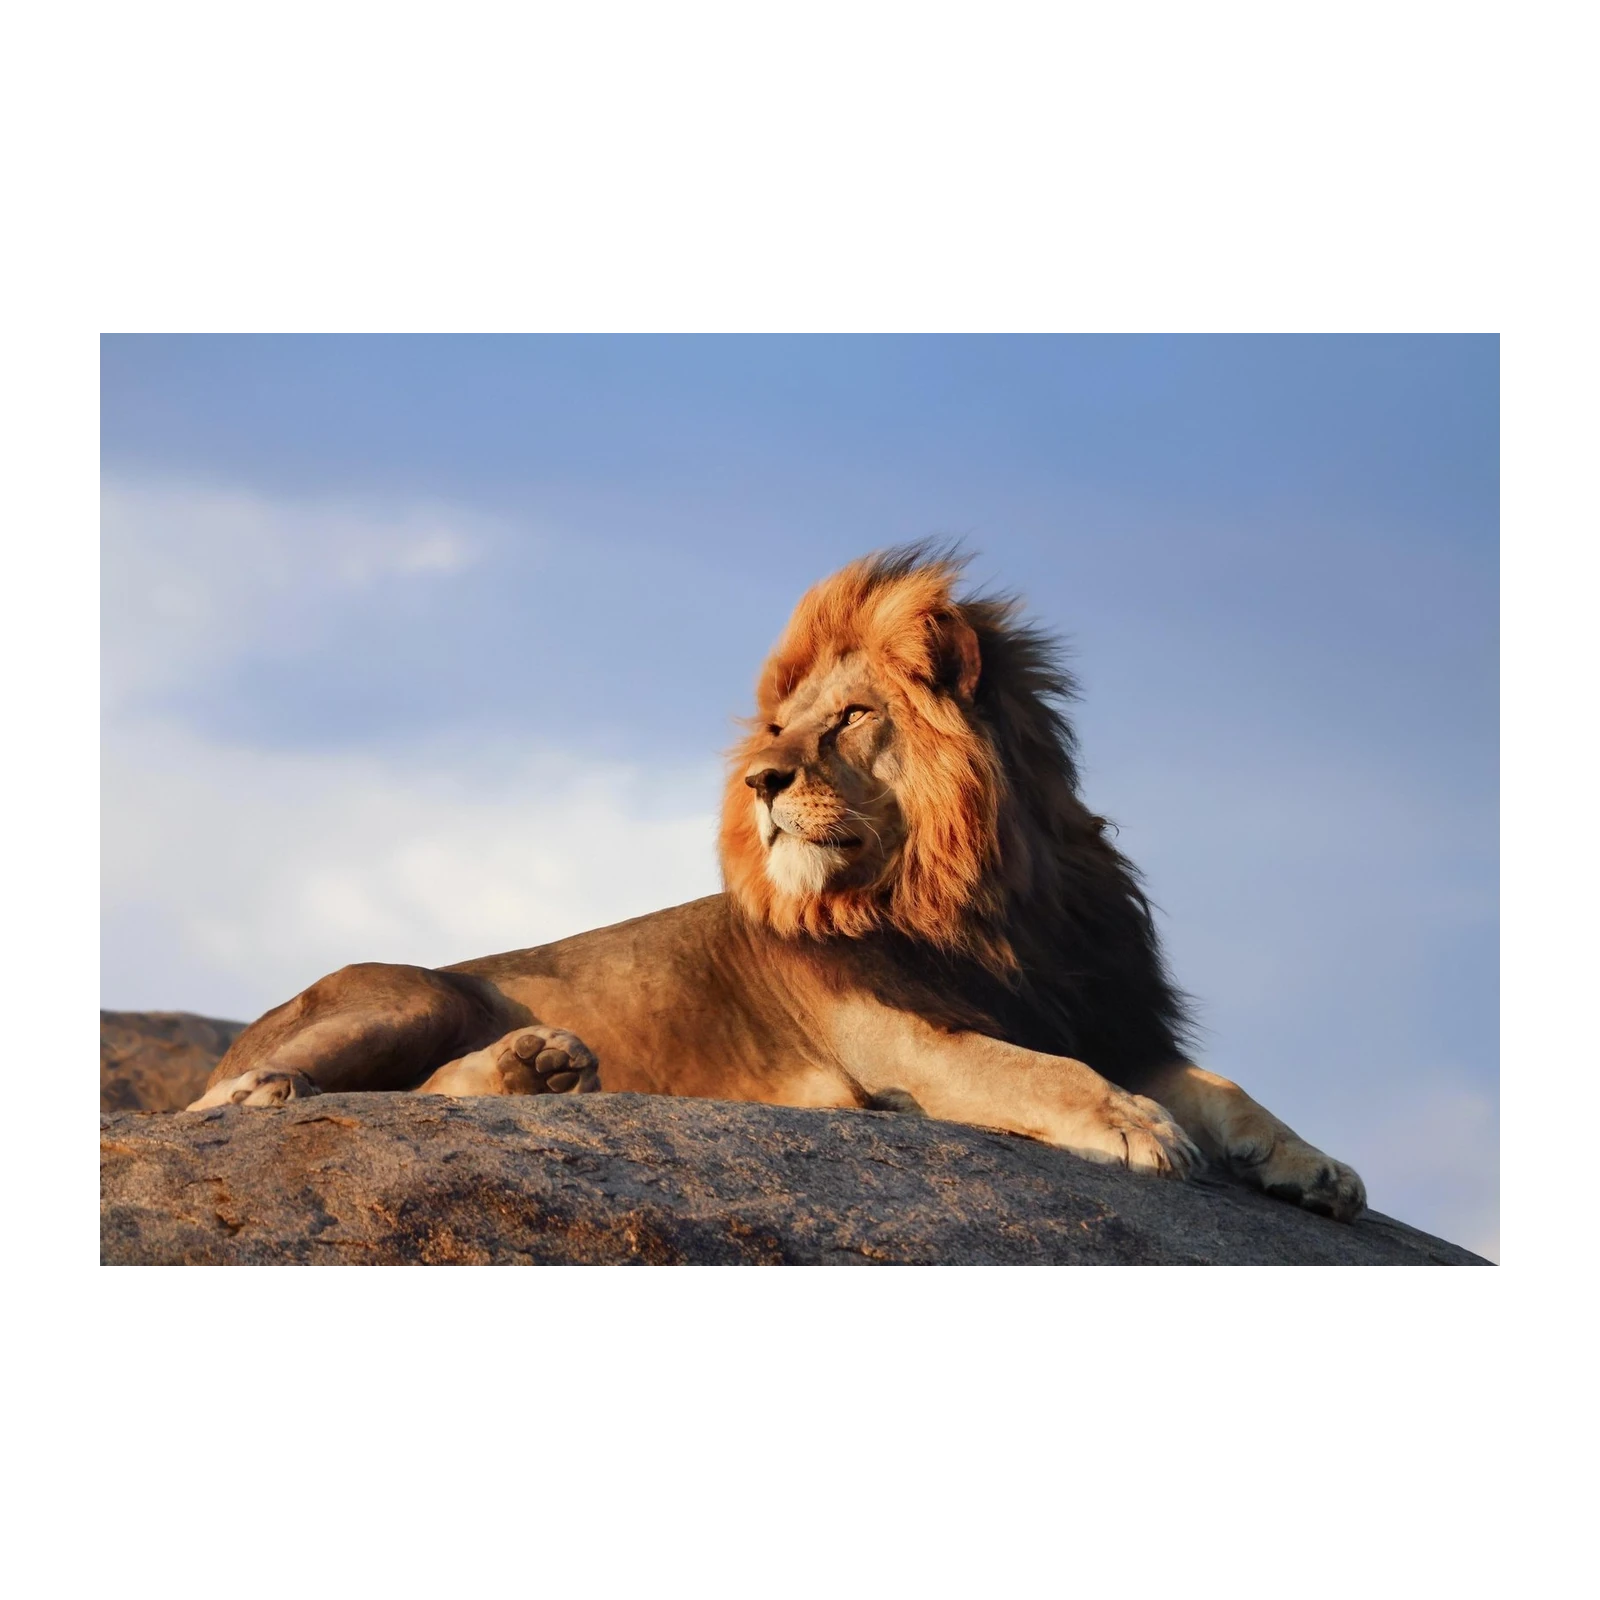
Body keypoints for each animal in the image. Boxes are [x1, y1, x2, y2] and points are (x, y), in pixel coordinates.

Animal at [189, 544, 1366, 1221]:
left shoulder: (1109, 1014)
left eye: (847, 718)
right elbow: (1038, 1071)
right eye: (776, 733)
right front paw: (1136, 1128)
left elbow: (1225, 1086)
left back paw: (542, 1068)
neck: (985, 903)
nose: (761, 781)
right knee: (233, 1099)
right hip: (411, 994)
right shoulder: (898, 1040)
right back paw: (281, 1089)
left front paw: (1317, 1168)